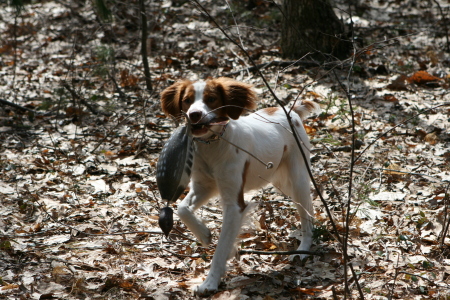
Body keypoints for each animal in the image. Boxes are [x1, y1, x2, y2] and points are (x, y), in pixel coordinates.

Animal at [160, 77, 318, 296]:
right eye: (187, 100)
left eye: (211, 99)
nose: (194, 114)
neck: (212, 145)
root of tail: (290, 110)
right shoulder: (204, 186)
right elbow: (182, 208)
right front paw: (204, 234)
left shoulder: (234, 204)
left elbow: (222, 246)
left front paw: (210, 283)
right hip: (281, 182)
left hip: (298, 178)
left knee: (307, 212)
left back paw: (303, 248)